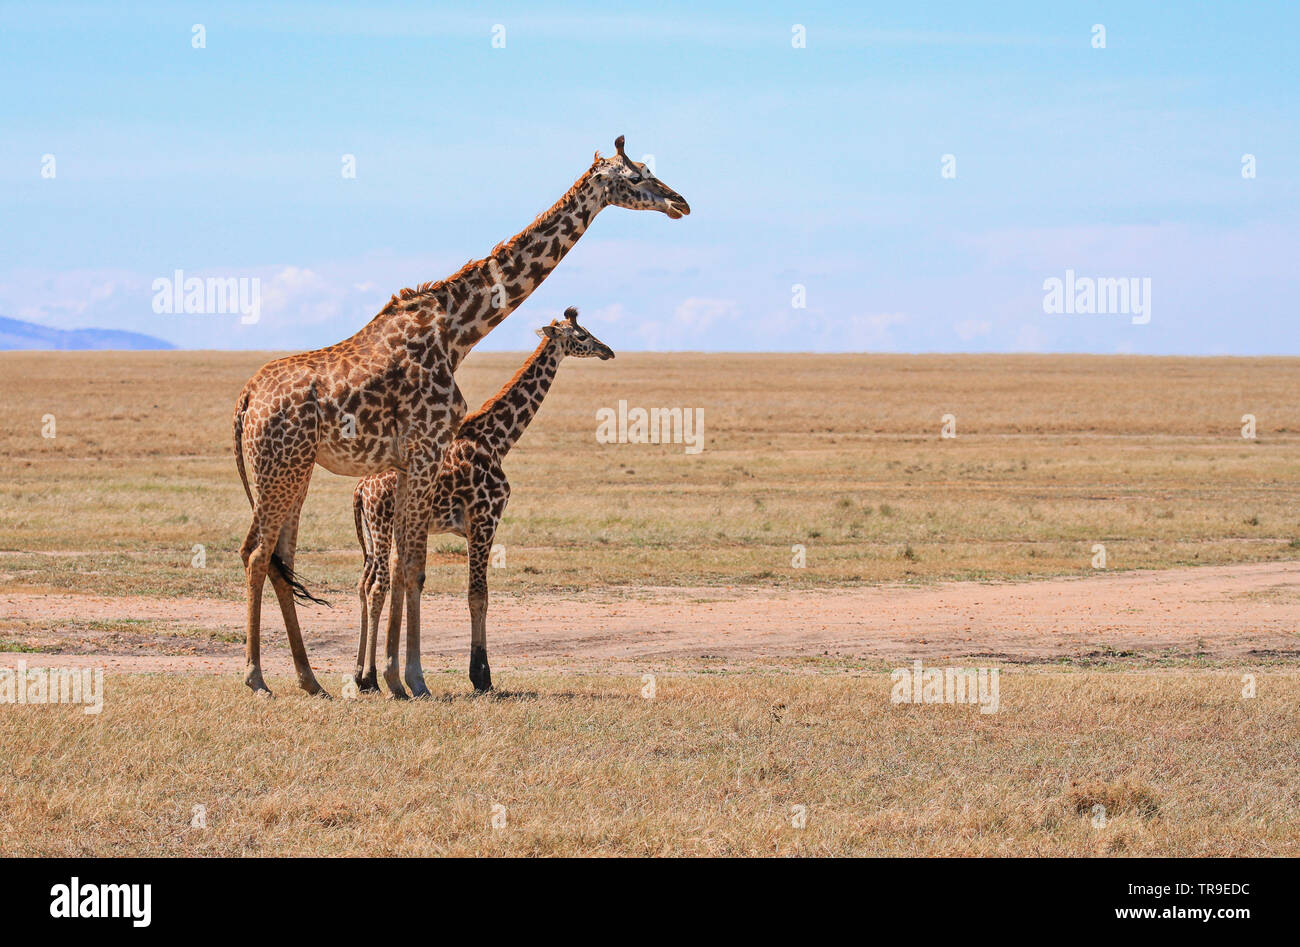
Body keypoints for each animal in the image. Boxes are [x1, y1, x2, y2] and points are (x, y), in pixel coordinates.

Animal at [353, 310, 616, 697]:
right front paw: (481, 676)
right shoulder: (484, 520)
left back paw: (364, 676)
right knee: (377, 587)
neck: (497, 440)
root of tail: (360, 489)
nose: (607, 350)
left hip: (374, 535)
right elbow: (479, 595)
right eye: (581, 335)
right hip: (382, 524)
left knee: (366, 584)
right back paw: (371, 678)